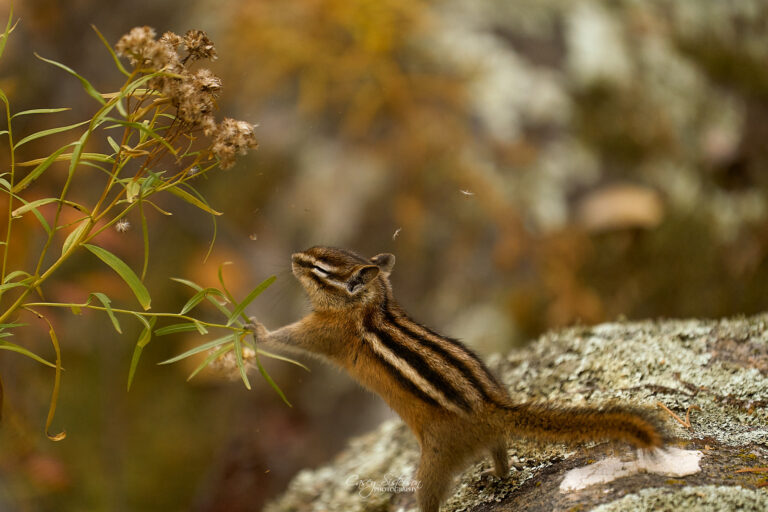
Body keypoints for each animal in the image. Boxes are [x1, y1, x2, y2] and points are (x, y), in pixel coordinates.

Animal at [248, 246, 667, 512]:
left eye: (319, 268)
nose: (293, 258)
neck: (374, 303)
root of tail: (494, 407)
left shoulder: (325, 332)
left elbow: (291, 338)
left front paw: (255, 330)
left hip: (435, 459)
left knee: (431, 497)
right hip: (487, 440)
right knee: (501, 454)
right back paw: (496, 476)